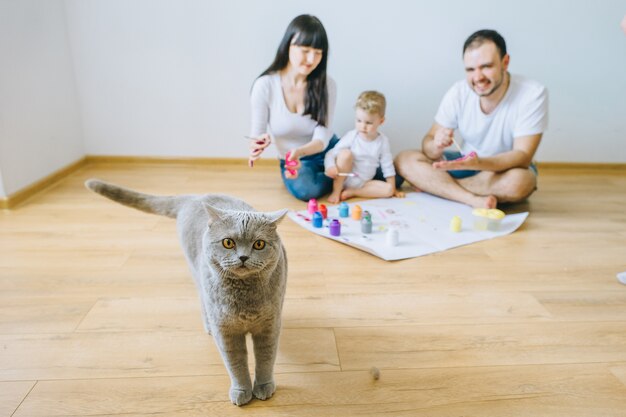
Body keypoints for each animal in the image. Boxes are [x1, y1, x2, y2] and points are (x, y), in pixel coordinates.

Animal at [85, 178, 288, 404]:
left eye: (259, 244)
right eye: (228, 242)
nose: (243, 257)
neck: (244, 298)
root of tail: (195, 197)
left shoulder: (269, 325)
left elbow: (265, 358)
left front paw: (263, 386)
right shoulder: (225, 330)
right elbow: (235, 363)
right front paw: (241, 391)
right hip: (198, 276)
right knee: (202, 300)